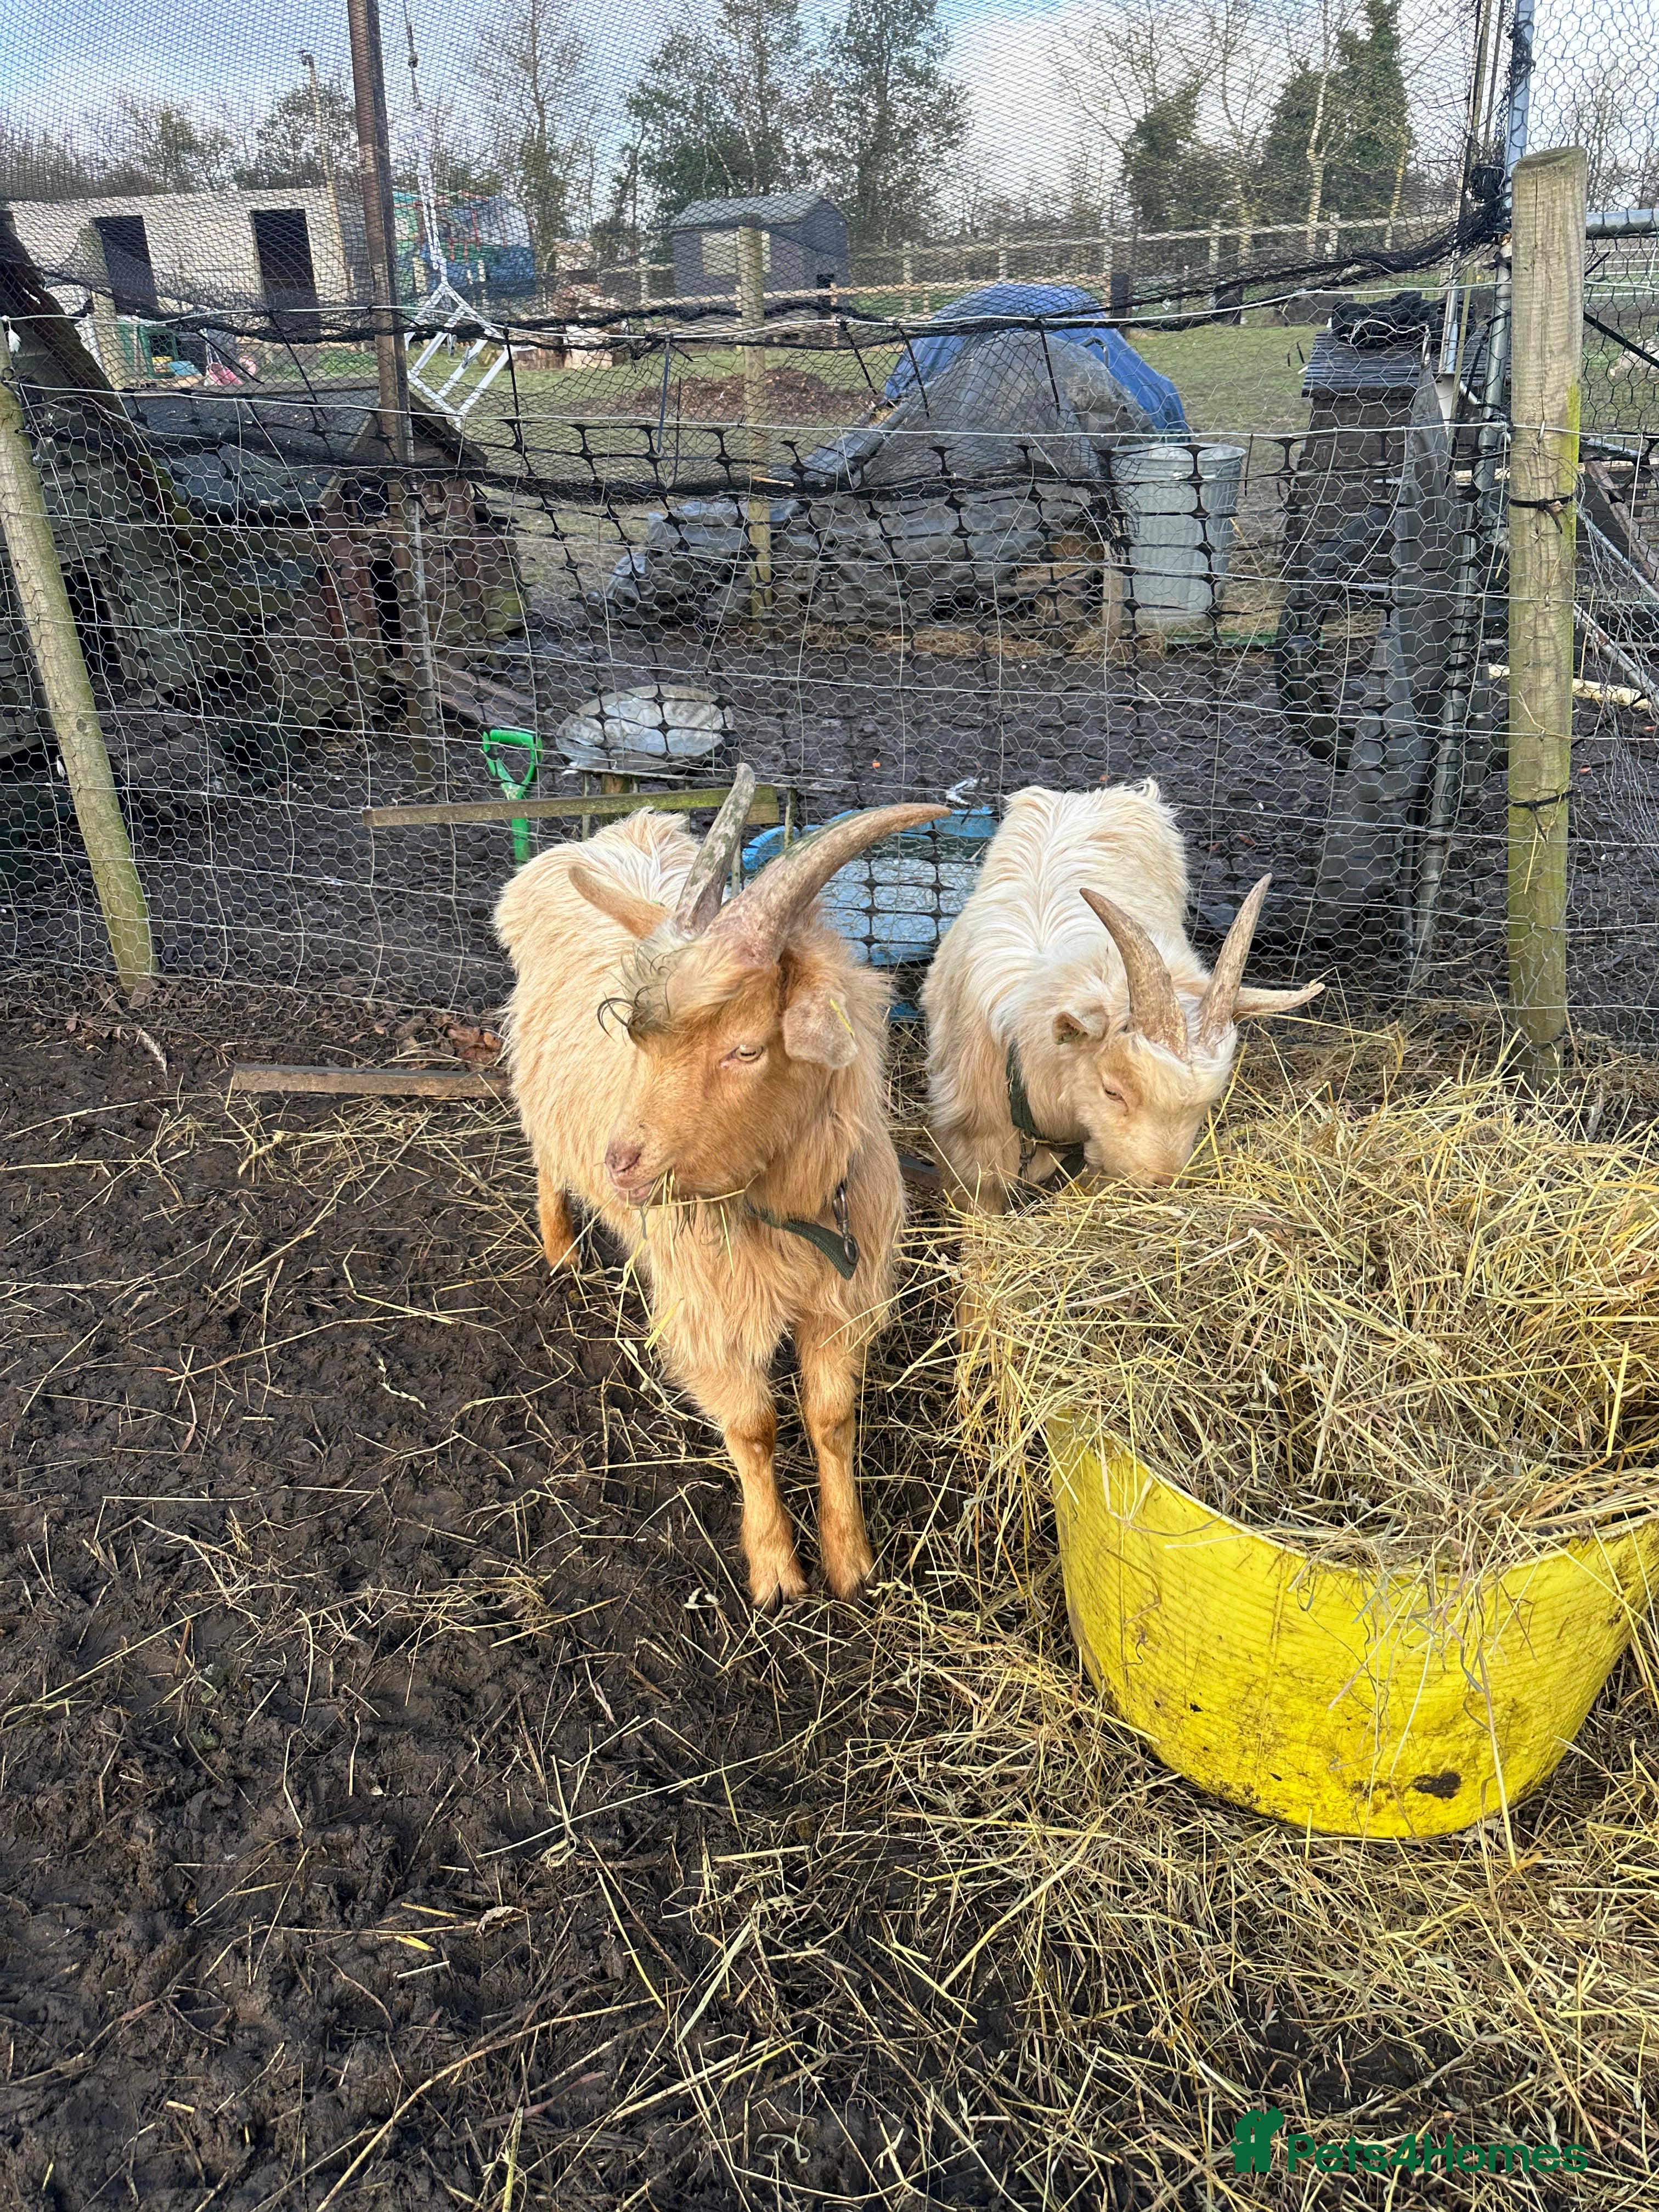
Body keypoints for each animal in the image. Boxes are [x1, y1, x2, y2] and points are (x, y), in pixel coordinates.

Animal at [496, 771, 946, 1605]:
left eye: (745, 1049)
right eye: (637, 1038)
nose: (623, 1164)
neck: (787, 1214)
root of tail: (611, 836)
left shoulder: (841, 1294)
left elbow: (830, 1417)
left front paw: (850, 1563)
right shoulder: (713, 1308)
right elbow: (753, 1429)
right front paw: (775, 1572)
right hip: (541, 1090)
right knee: (545, 1156)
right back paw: (560, 1248)